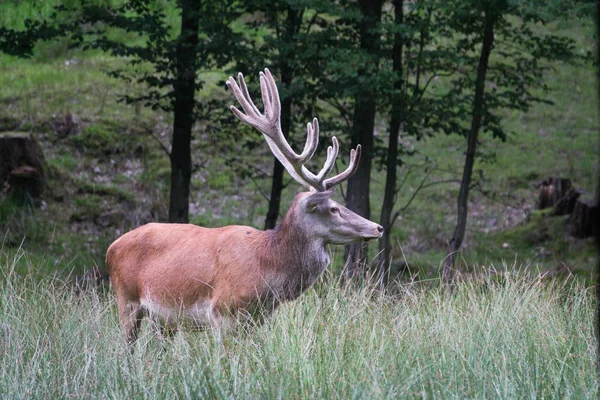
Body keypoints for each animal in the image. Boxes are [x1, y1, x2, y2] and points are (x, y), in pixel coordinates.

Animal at [105, 68, 382, 344]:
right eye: (333, 208)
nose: (378, 228)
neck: (268, 267)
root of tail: (111, 247)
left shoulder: (257, 318)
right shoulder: (223, 310)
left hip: (163, 321)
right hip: (126, 299)